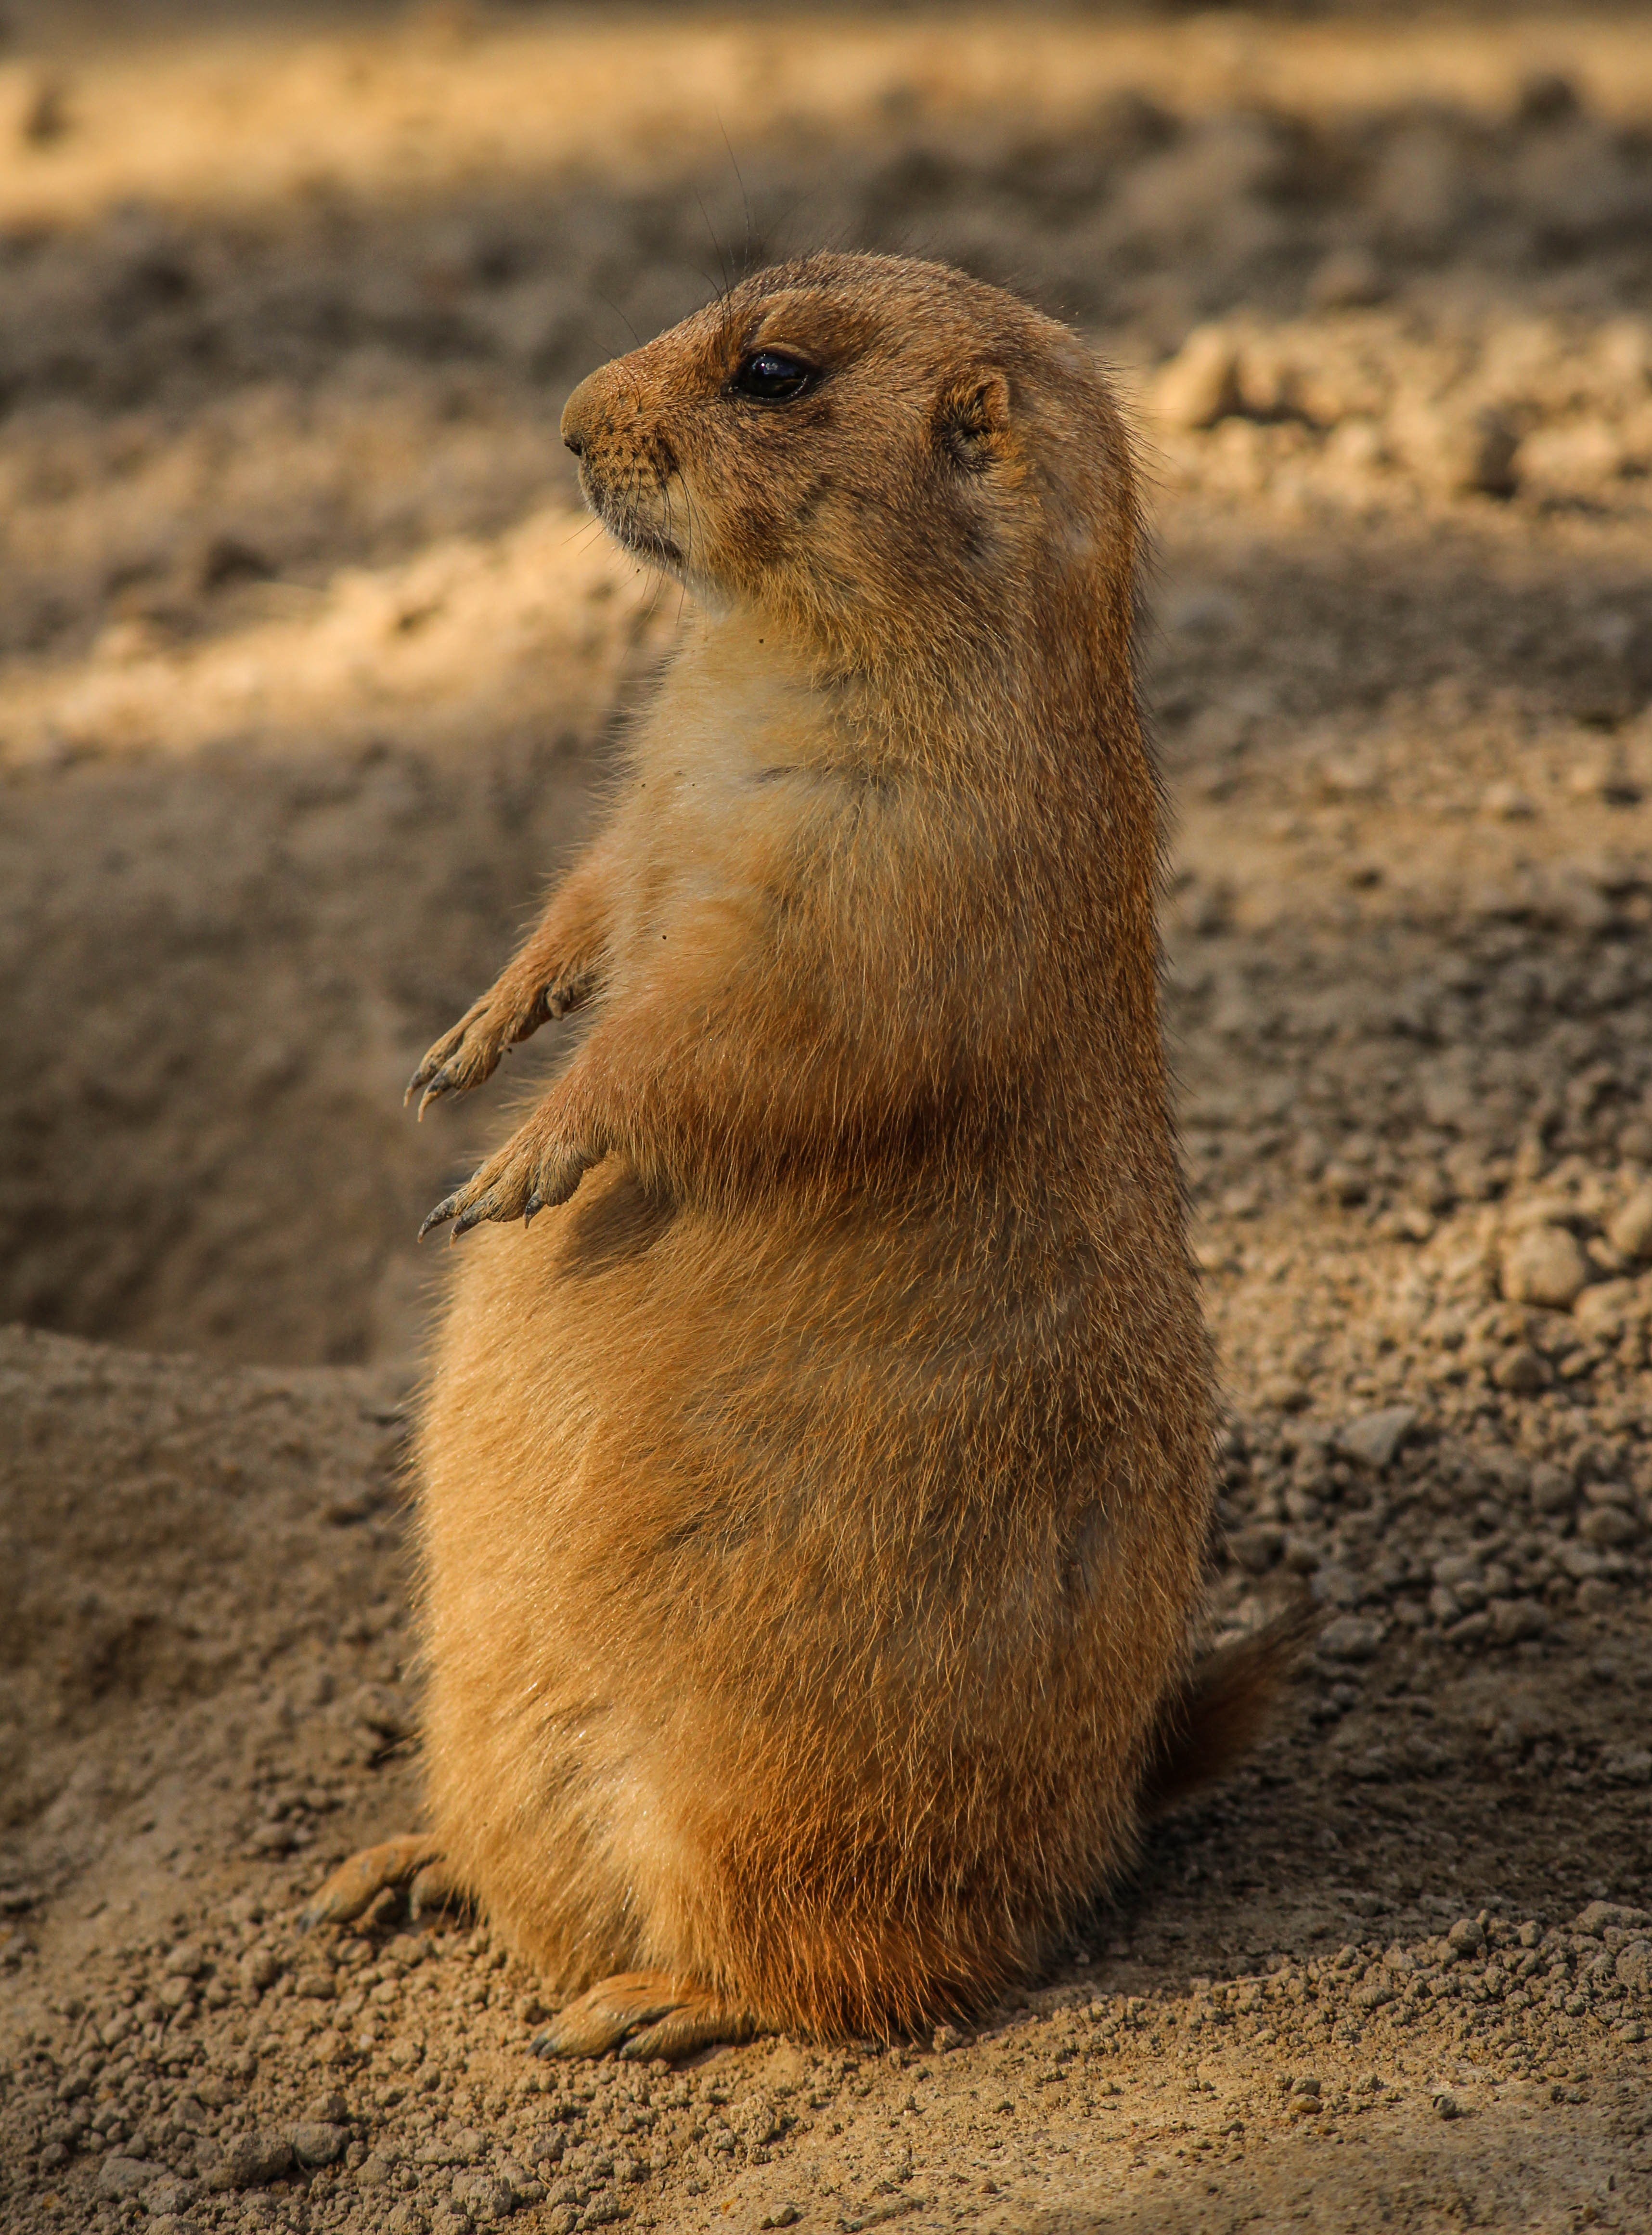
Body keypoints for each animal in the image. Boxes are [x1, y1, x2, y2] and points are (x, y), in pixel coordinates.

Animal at [303, 253, 1304, 2058]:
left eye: (772, 373)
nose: (567, 422)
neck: (770, 645)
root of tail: (1110, 1812)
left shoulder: (878, 872)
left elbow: (721, 1029)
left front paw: (514, 1168)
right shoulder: (644, 811)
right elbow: (586, 906)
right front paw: (463, 1050)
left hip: (773, 1807)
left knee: (850, 1975)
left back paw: (641, 2006)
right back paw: (403, 1868)